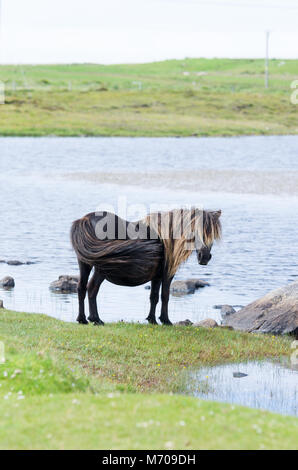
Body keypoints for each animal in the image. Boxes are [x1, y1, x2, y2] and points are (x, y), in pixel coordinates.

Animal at [70, 207, 221, 324]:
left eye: (213, 233)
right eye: (197, 231)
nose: (204, 257)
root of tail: (85, 219)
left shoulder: (156, 276)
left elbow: (153, 296)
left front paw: (152, 319)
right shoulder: (167, 274)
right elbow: (165, 295)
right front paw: (166, 320)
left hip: (85, 264)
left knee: (81, 288)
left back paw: (82, 319)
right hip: (101, 269)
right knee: (92, 289)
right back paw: (96, 319)